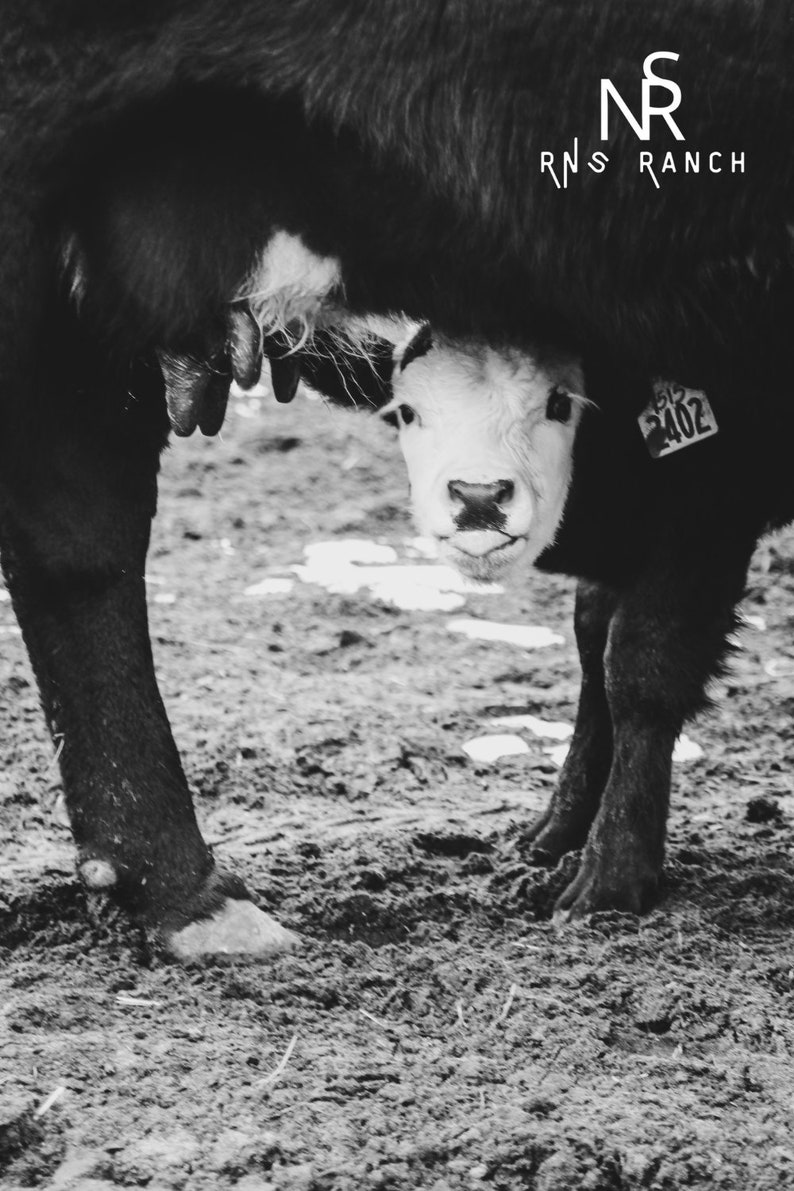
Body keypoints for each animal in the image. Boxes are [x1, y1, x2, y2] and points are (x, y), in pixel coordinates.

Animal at [1, 1, 792, 957]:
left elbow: (620, 660)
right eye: (407, 412)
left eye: (560, 401)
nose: (480, 499)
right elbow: (625, 660)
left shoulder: (700, 497)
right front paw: (600, 871)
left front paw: (575, 853)